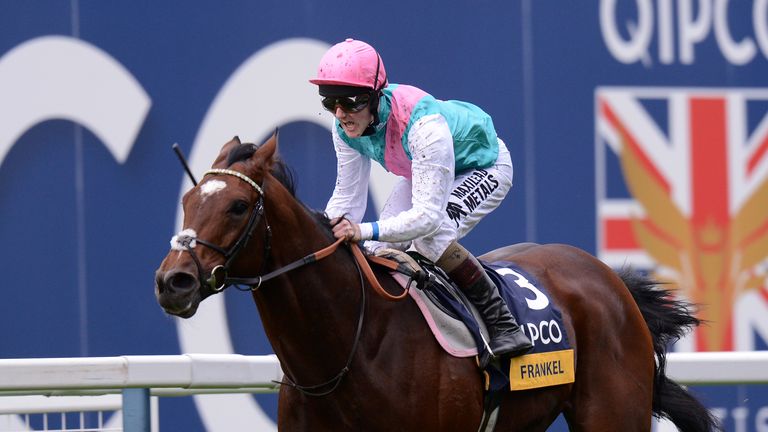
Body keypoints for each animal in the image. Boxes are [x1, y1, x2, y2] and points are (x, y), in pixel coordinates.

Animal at [156, 133, 720, 430]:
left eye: (237, 205)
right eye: (186, 201)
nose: (173, 281)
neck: (350, 347)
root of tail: (608, 277)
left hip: (612, 414)